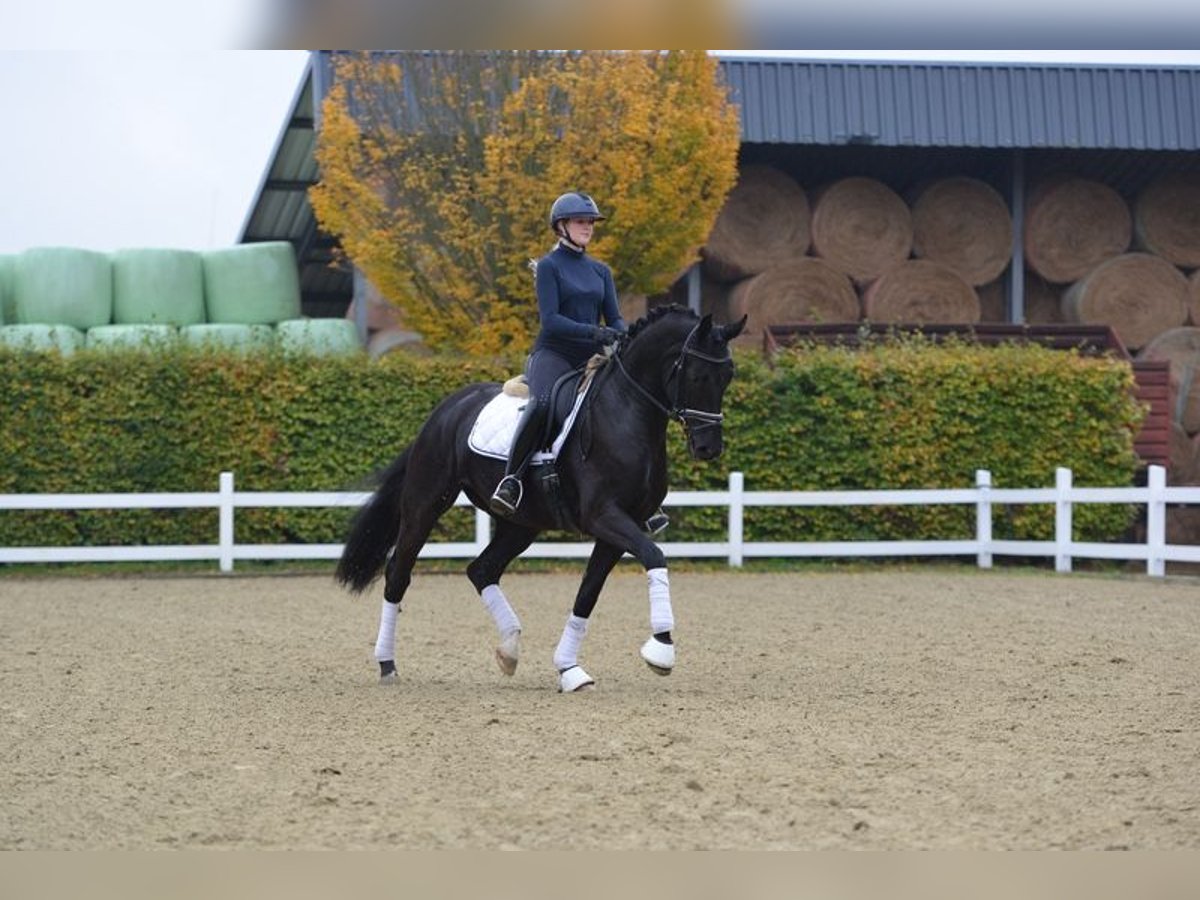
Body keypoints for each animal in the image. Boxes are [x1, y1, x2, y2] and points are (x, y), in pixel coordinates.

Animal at [336, 307, 739, 696]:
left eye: (728, 376)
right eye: (698, 375)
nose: (709, 448)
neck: (626, 413)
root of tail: (448, 407)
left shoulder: (620, 527)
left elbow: (588, 593)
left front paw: (569, 670)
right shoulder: (604, 516)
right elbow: (654, 556)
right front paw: (661, 649)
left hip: (521, 525)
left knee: (481, 570)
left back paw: (509, 650)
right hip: (426, 503)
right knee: (398, 574)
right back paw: (387, 664)